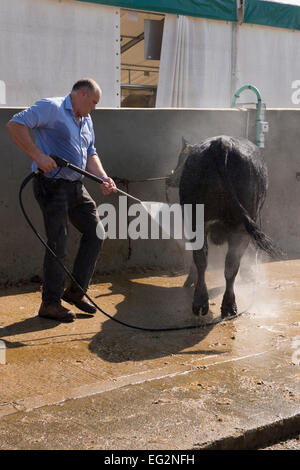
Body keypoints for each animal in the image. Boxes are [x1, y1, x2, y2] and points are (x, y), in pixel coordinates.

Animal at [166, 136, 282, 320]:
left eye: (180, 158)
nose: (169, 179)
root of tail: (222, 143)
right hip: (240, 227)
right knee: (230, 263)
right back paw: (227, 305)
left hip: (197, 221)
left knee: (203, 259)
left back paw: (201, 302)